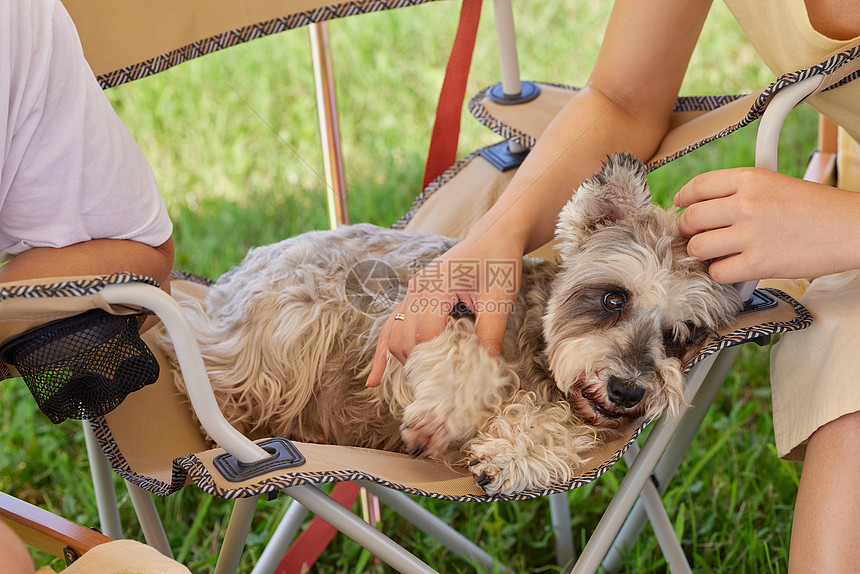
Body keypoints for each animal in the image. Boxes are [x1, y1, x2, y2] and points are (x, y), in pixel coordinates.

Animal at [158, 155, 744, 498]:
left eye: (681, 335)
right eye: (613, 297)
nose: (627, 390)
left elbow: (555, 423)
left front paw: (513, 455)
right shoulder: (420, 327)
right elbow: (469, 359)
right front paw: (450, 413)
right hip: (292, 327)